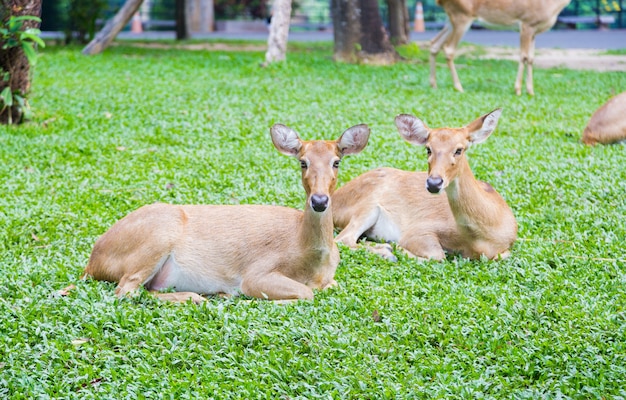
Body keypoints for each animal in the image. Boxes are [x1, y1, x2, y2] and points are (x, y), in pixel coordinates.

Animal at [80, 123, 368, 302]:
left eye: (336, 162)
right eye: (303, 162)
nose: (319, 201)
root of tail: (93, 261)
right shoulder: (256, 273)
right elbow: (307, 294)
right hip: (157, 236)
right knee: (125, 289)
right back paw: (195, 297)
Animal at [332, 108, 516, 260]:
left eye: (459, 150)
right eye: (428, 148)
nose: (434, 183)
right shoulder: (419, 229)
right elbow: (437, 256)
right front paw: (396, 249)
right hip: (367, 205)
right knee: (342, 239)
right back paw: (386, 251)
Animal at [428, 0, 572, 95]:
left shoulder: (534, 31)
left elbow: (531, 58)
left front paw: (530, 91)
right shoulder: (527, 24)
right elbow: (524, 56)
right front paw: (518, 90)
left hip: (451, 19)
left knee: (434, 44)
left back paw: (434, 84)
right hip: (462, 15)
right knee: (449, 49)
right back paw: (458, 87)